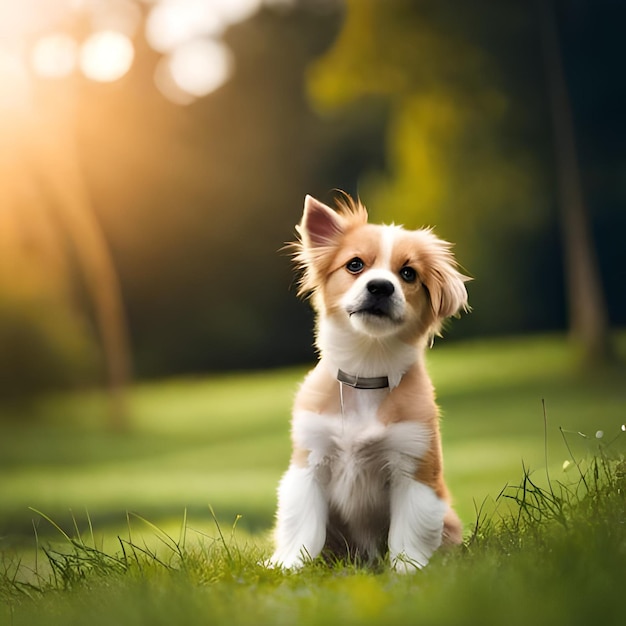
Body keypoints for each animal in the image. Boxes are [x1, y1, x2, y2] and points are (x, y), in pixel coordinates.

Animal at [268, 195, 468, 572]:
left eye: (408, 273)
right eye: (355, 265)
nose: (380, 286)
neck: (366, 371)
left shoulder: (414, 469)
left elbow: (408, 533)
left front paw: (409, 570)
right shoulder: (309, 464)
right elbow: (303, 528)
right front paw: (289, 567)